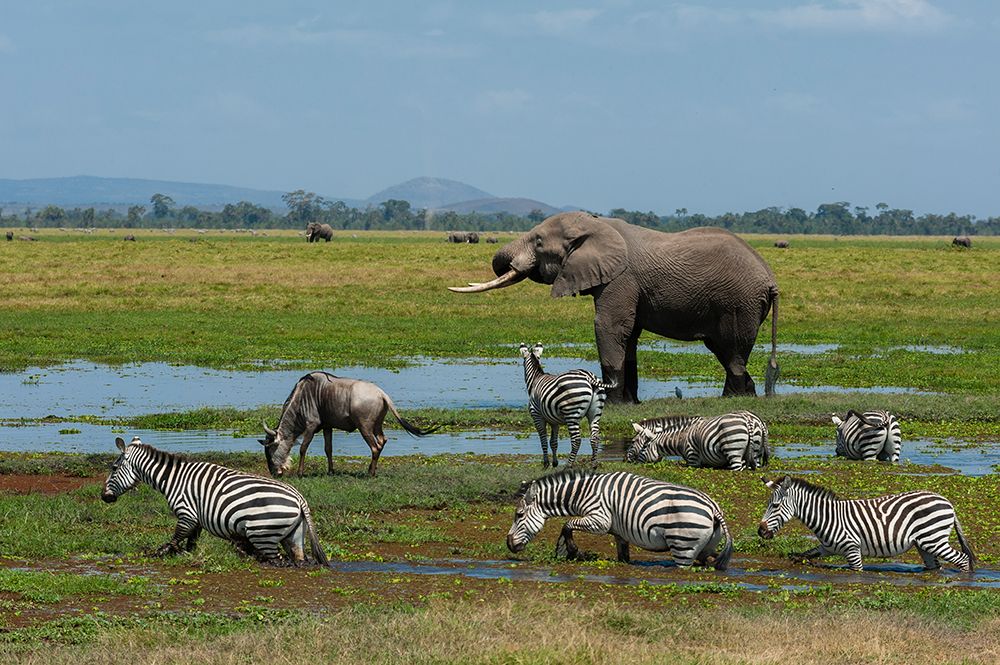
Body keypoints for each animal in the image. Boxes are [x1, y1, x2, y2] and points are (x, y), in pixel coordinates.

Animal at [101, 436, 328, 566]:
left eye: (113, 468)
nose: (104, 497)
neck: (173, 479)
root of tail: (299, 498)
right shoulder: (196, 520)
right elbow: (191, 543)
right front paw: (187, 556)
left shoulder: (186, 514)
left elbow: (175, 539)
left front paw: (159, 554)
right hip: (294, 536)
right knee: (298, 559)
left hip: (262, 534)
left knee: (278, 561)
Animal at [450, 211, 779, 402]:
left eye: (539, 242)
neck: (596, 224)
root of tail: (771, 279)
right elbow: (629, 335)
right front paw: (630, 403)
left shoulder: (621, 278)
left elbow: (609, 326)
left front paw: (614, 404)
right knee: (727, 351)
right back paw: (744, 397)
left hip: (738, 303)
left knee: (732, 351)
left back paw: (731, 400)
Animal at [506, 469, 733, 570]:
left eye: (519, 515)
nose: (509, 544)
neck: (584, 491)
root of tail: (713, 508)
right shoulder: (619, 532)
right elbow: (623, 555)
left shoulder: (600, 519)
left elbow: (568, 524)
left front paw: (570, 550)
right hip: (705, 546)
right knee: (710, 558)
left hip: (683, 547)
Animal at [626, 411, 770, 470]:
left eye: (633, 442)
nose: (627, 461)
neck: (681, 438)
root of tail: (750, 419)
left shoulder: (693, 460)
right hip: (755, 452)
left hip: (733, 449)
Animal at [757, 475, 975, 572]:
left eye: (775, 505)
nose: (760, 531)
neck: (827, 517)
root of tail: (948, 502)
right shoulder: (827, 548)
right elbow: (802, 555)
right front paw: (799, 561)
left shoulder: (852, 549)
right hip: (925, 544)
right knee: (935, 566)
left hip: (934, 540)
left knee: (963, 559)